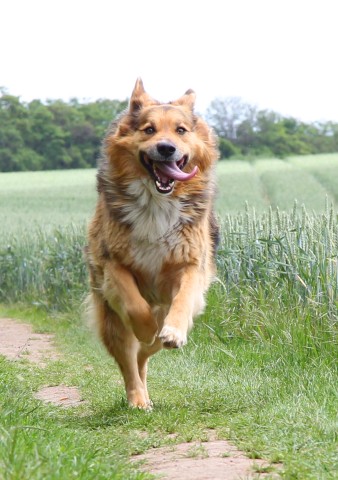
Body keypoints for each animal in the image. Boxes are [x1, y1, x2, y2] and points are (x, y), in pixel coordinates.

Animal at [86, 79, 219, 408]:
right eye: (149, 129)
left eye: (181, 130)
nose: (166, 148)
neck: (156, 201)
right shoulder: (114, 265)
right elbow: (135, 306)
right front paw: (145, 328)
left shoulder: (190, 264)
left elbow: (183, 299)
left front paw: (173, 332)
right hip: (111, 322)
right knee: (129, 360)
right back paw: (137, 398)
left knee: (144, 357)